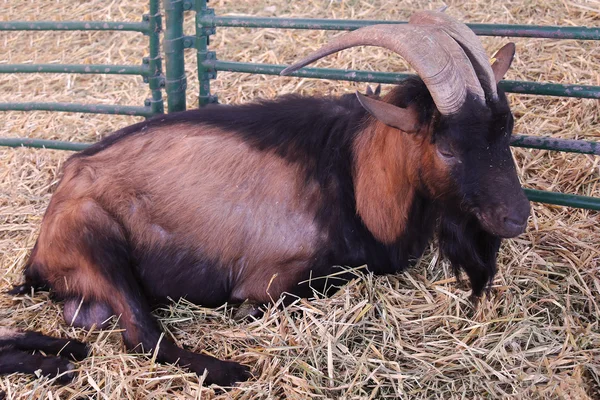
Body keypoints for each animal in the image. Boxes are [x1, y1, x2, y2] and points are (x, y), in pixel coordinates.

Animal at [5, 11, 528, 384]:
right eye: (446, 148)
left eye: (507, 129)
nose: (517, 216)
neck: (353, 174)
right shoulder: (274, 278)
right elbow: (283, 295)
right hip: (97, 242)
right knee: (142, 336)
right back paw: (227, 370)